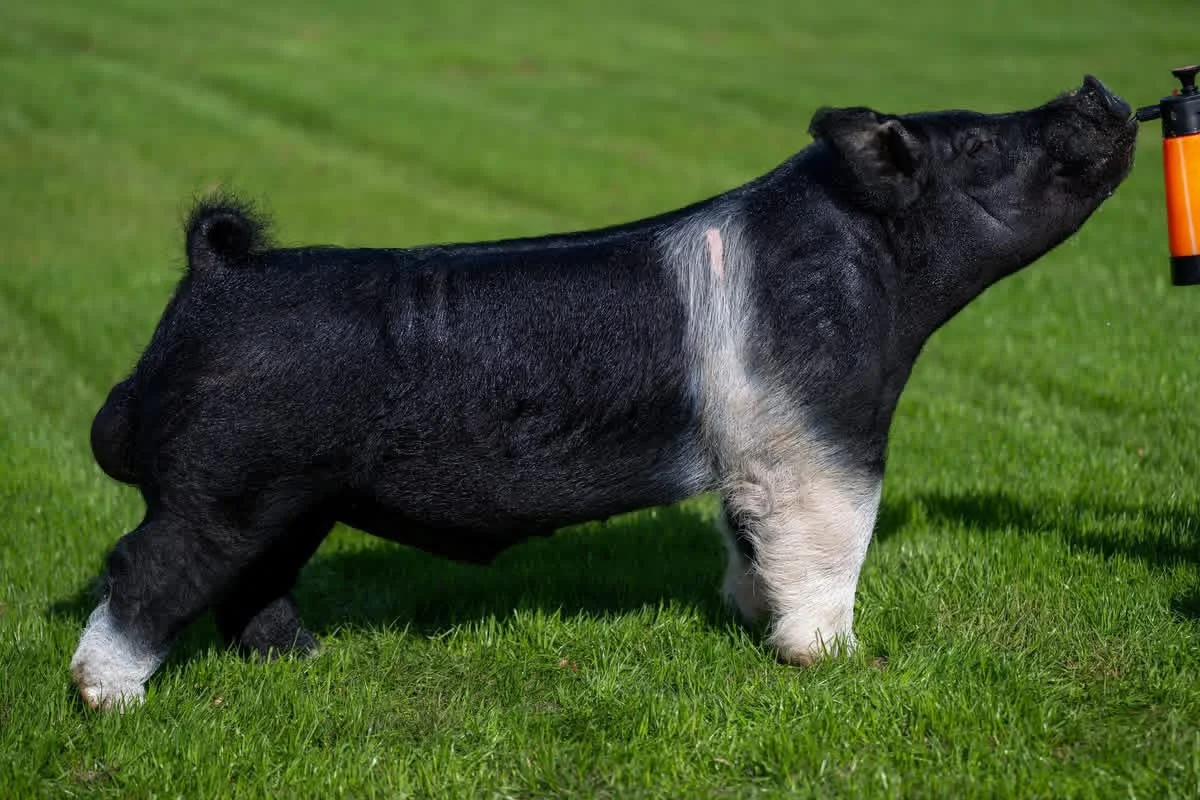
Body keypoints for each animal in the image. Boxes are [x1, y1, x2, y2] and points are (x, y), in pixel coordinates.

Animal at [73, 76, 1137, 709]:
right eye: (981, 148)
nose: (1098, 89)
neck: (870, 267)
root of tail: (215, 277)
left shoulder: (754, 457)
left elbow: (750, 540)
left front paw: (749, 619)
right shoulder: (824, 434)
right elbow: (835, 540)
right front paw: (832, 661)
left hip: (291, 497)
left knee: (253, 582)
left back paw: (305, 661)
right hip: (223, 487)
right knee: (143, 568)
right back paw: (109, 700)